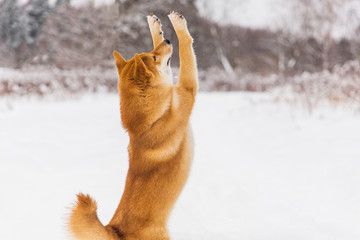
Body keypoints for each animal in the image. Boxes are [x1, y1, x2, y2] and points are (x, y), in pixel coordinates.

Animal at [69, 11, 198, 240]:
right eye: (154, 58)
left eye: (150, 52)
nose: (168, 40)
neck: (150, 122)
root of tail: (115, 230)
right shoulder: (187, 89)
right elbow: (186, 48)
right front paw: (177, 24)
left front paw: (155, 26)